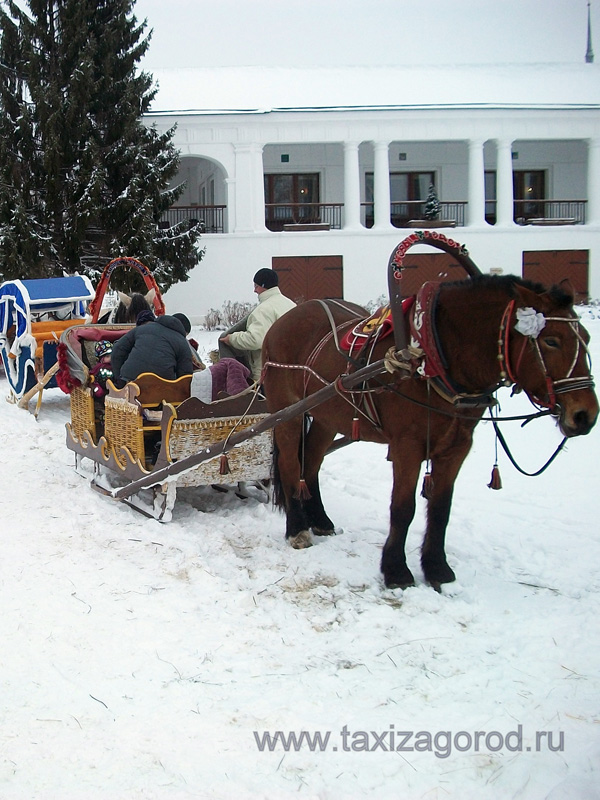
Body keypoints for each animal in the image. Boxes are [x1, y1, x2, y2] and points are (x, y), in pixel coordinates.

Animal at [262, 276, 596, 588]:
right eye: (551, 341)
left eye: (586, 338)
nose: (586, 415)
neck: (433, 355)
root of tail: (283, 322)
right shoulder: (406, 447)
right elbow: (403, 508)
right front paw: (396, 570)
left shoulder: (457, 447)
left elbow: (440, 509)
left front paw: (437, 568)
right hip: (287, 412)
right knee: (290, 463)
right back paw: (297, 528)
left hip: (327, 416)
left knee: (311, 462)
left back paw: (319, 519)